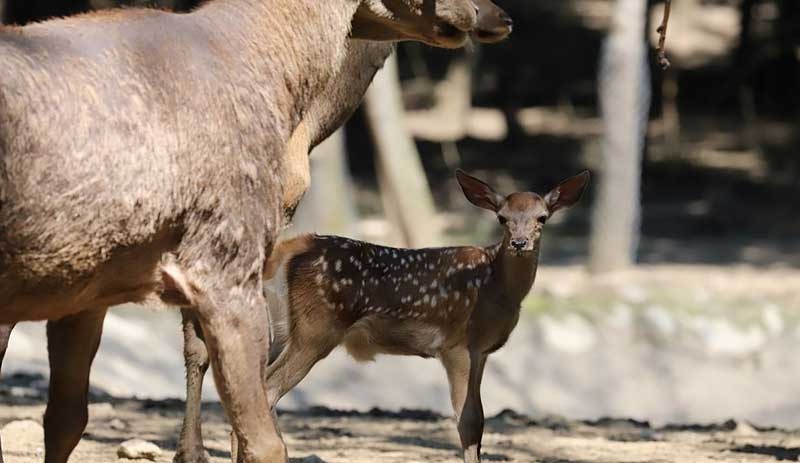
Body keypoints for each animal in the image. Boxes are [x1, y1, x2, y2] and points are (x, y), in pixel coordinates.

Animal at [238, 170, 588, 463]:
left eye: (542, 218)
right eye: (502, 218)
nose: (519, 242)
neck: (495, 287)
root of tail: (288, 249)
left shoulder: (482, 351)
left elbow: (480, 418)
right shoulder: (456, 345)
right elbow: (468, 419)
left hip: (279, 331)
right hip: (316, 328)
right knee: (268, 390)